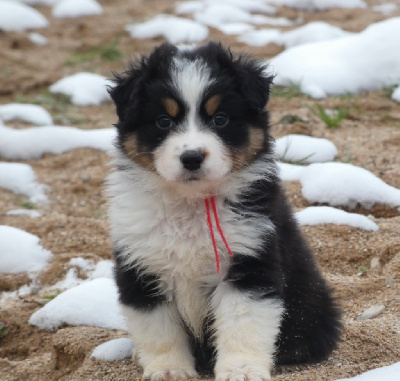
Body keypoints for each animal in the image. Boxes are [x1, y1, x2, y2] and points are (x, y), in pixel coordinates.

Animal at [106, 42, 340, 380]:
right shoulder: (140, 264)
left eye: (220, 119)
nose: (192, 157)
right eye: (164, 121)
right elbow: (158, 328)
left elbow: (242, 323)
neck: (191, 202)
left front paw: (242, 370)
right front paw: (168, 369)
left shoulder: (250, 262)